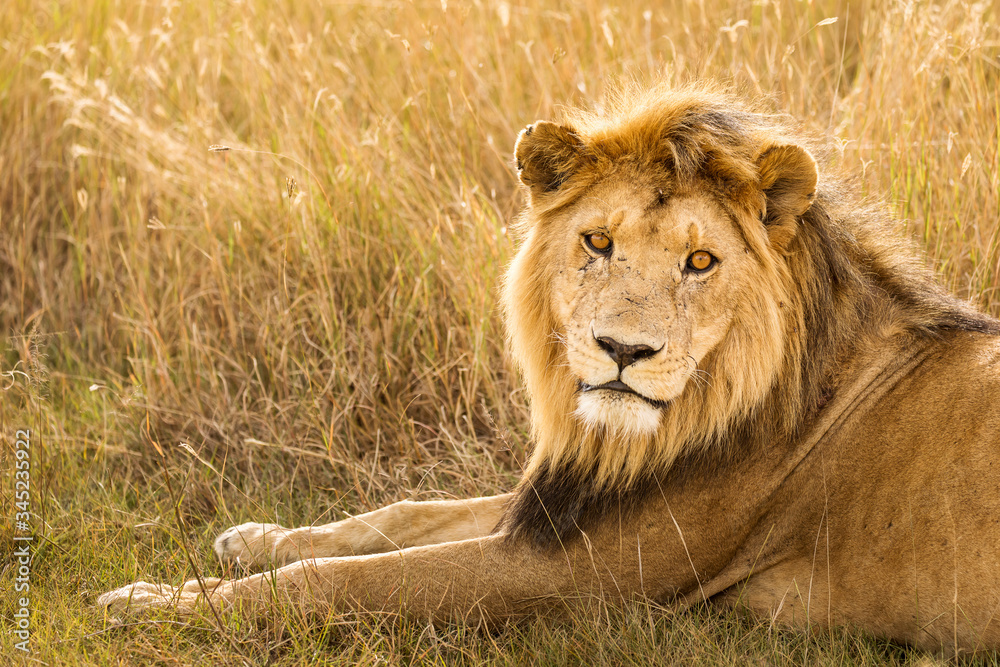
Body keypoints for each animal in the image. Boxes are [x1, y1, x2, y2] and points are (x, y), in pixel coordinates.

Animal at [99, 84, 1000, 654]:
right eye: (597, 242)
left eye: (700, 261)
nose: (624, 351)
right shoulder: (559, 503)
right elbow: (398, 515)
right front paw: (252, 538)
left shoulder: (572, 577)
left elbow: (339, 582)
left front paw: (154, 605)